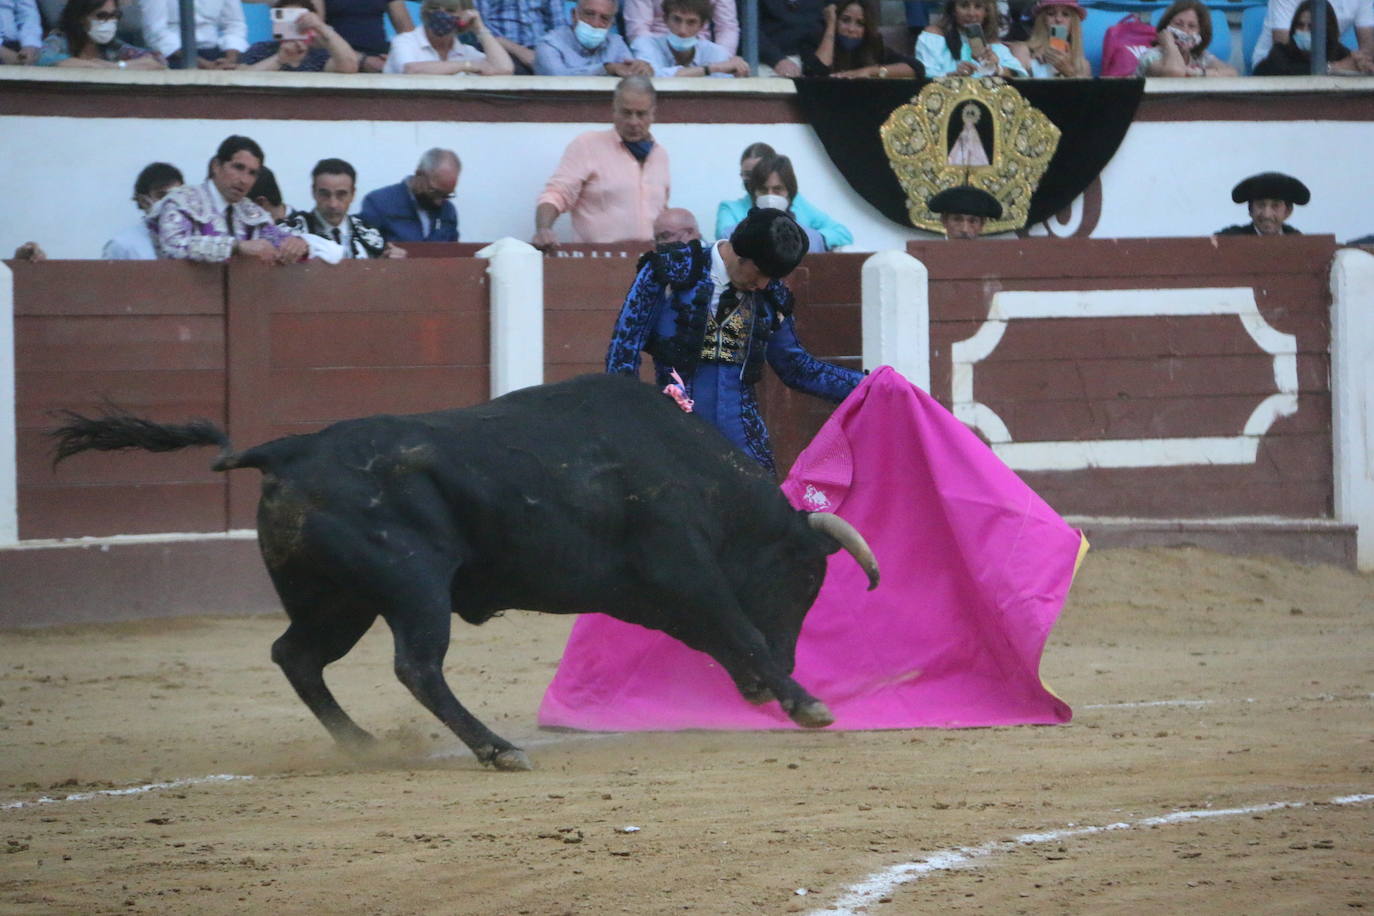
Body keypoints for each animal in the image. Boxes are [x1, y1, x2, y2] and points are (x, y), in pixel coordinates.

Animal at [53, 373, 879, 769]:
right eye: (806, 581)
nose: (782, 675)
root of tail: (286, 449)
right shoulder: (685, 572)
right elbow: (738, 627)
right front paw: (807, 702)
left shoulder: (667, 595)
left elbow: (722, 635)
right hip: (414, 586)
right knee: (416, 667)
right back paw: (496, 748)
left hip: (338, 599)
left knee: (296, 655)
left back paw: (364, 745)